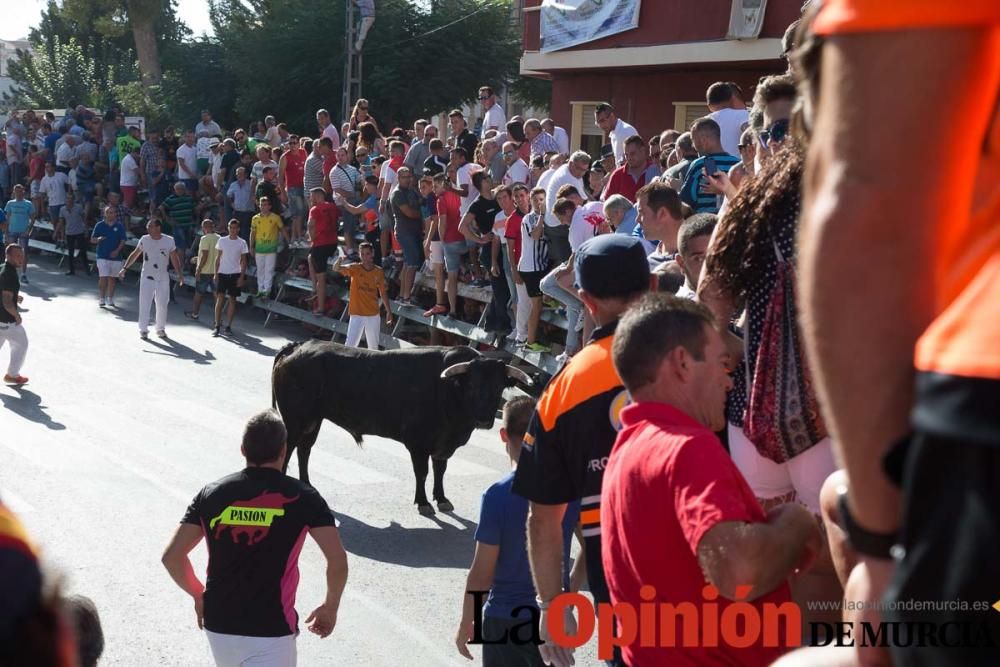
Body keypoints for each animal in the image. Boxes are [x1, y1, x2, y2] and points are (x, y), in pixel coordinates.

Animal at [266, 342, 532, 516]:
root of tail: (296, 347)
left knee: (304, 450)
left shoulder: (444, 444)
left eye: (499, 386)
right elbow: (422, 472)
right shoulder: (418, 442)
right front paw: (423, 502)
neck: (449, 391)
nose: (485, 419)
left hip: (313, 420)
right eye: (472, 385)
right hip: (296, 420)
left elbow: (440, 470)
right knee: (288, 451)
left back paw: (308, 485)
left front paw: (441, 498)